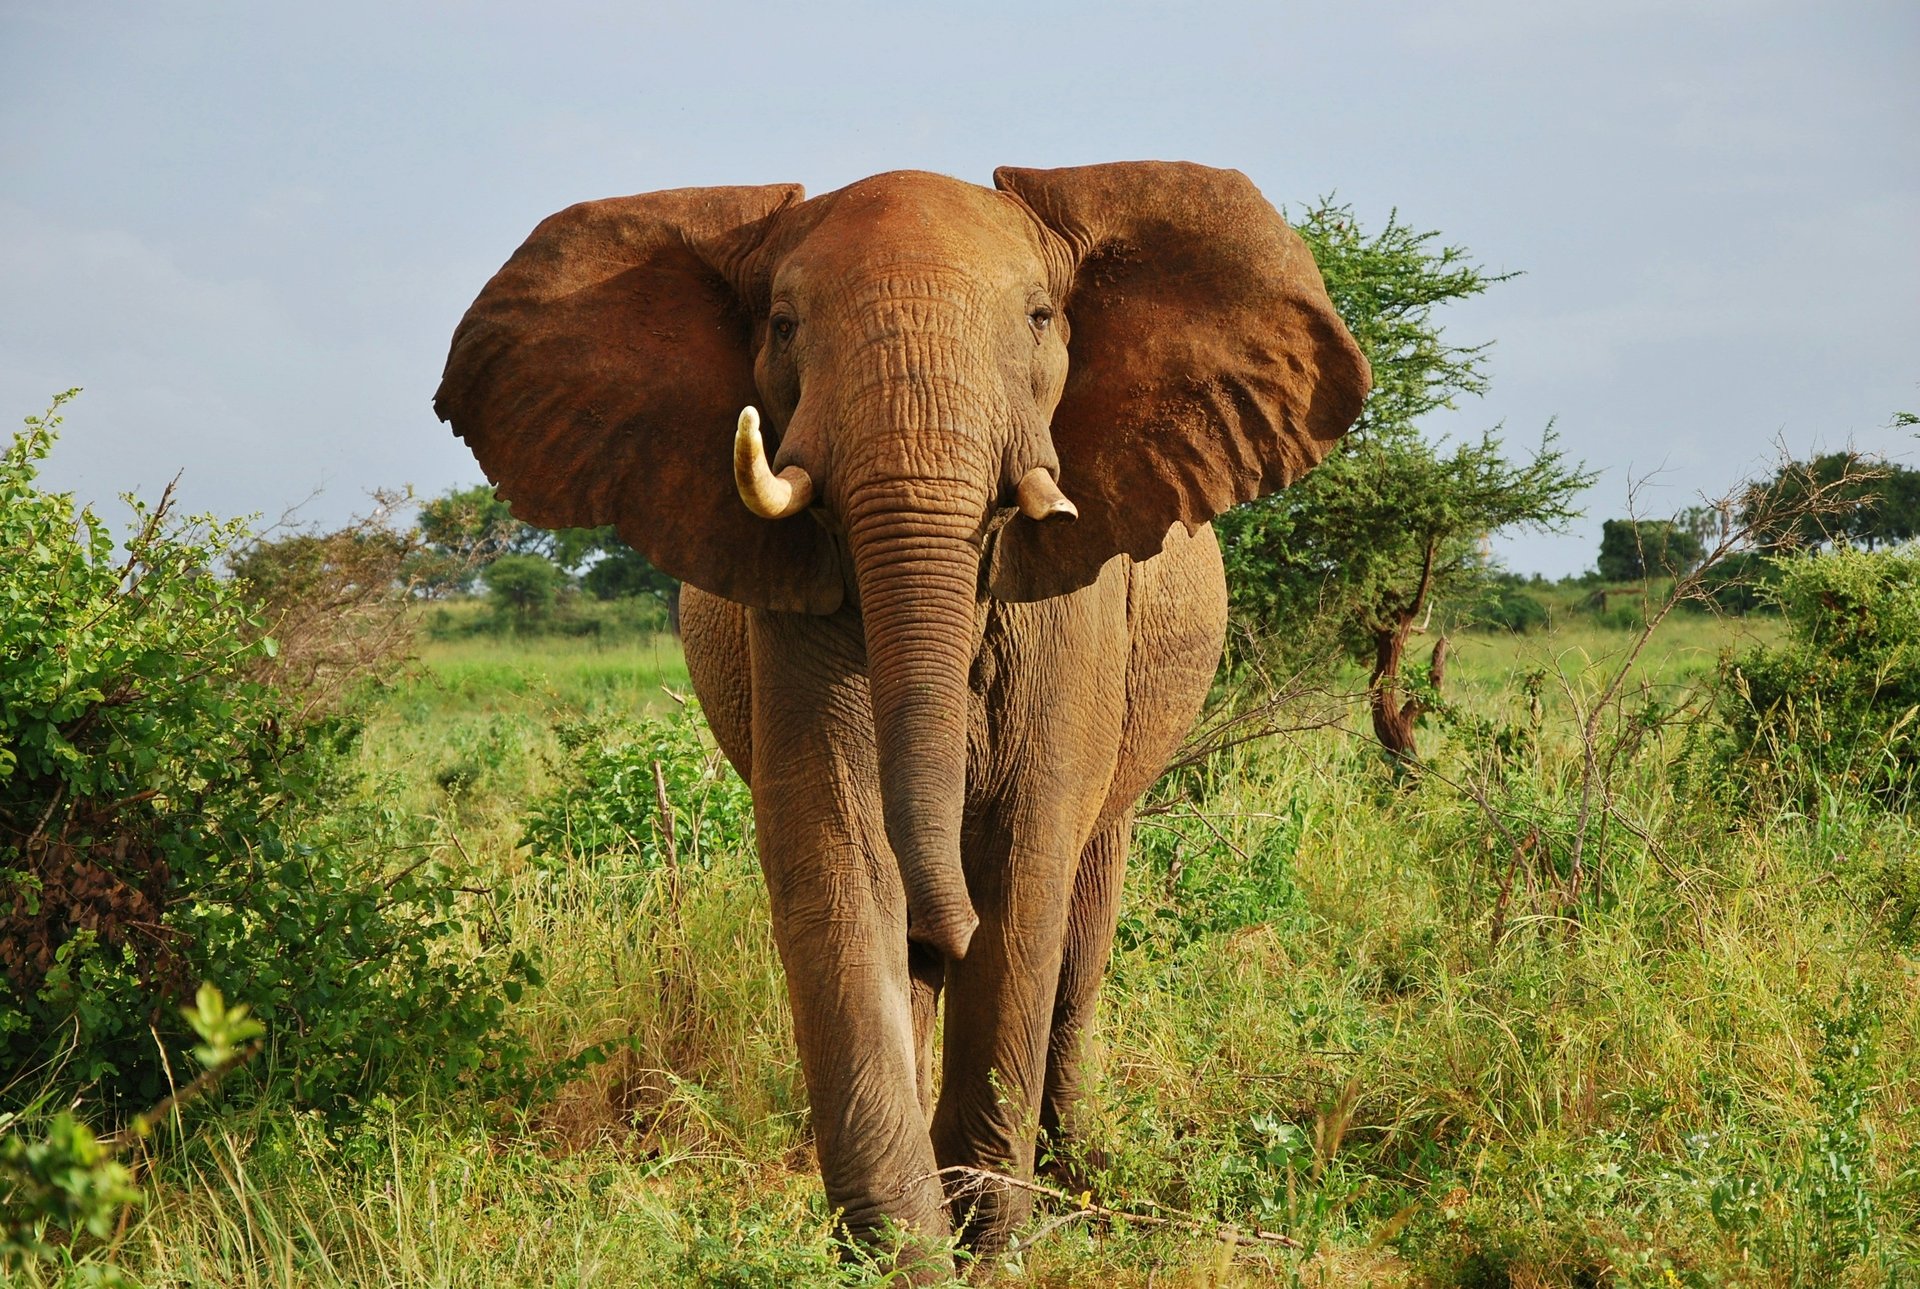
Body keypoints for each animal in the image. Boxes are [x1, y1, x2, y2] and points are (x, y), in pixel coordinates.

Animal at [439, 158, 1367, 1267]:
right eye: (784, 324)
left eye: (1041, 318)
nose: (945, 923)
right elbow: (839, 852)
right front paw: (905, 1252)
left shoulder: (1073, 607)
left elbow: (1025, 864)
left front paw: (991, 1238)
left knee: (1084, 911)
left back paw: (1070, 1171)